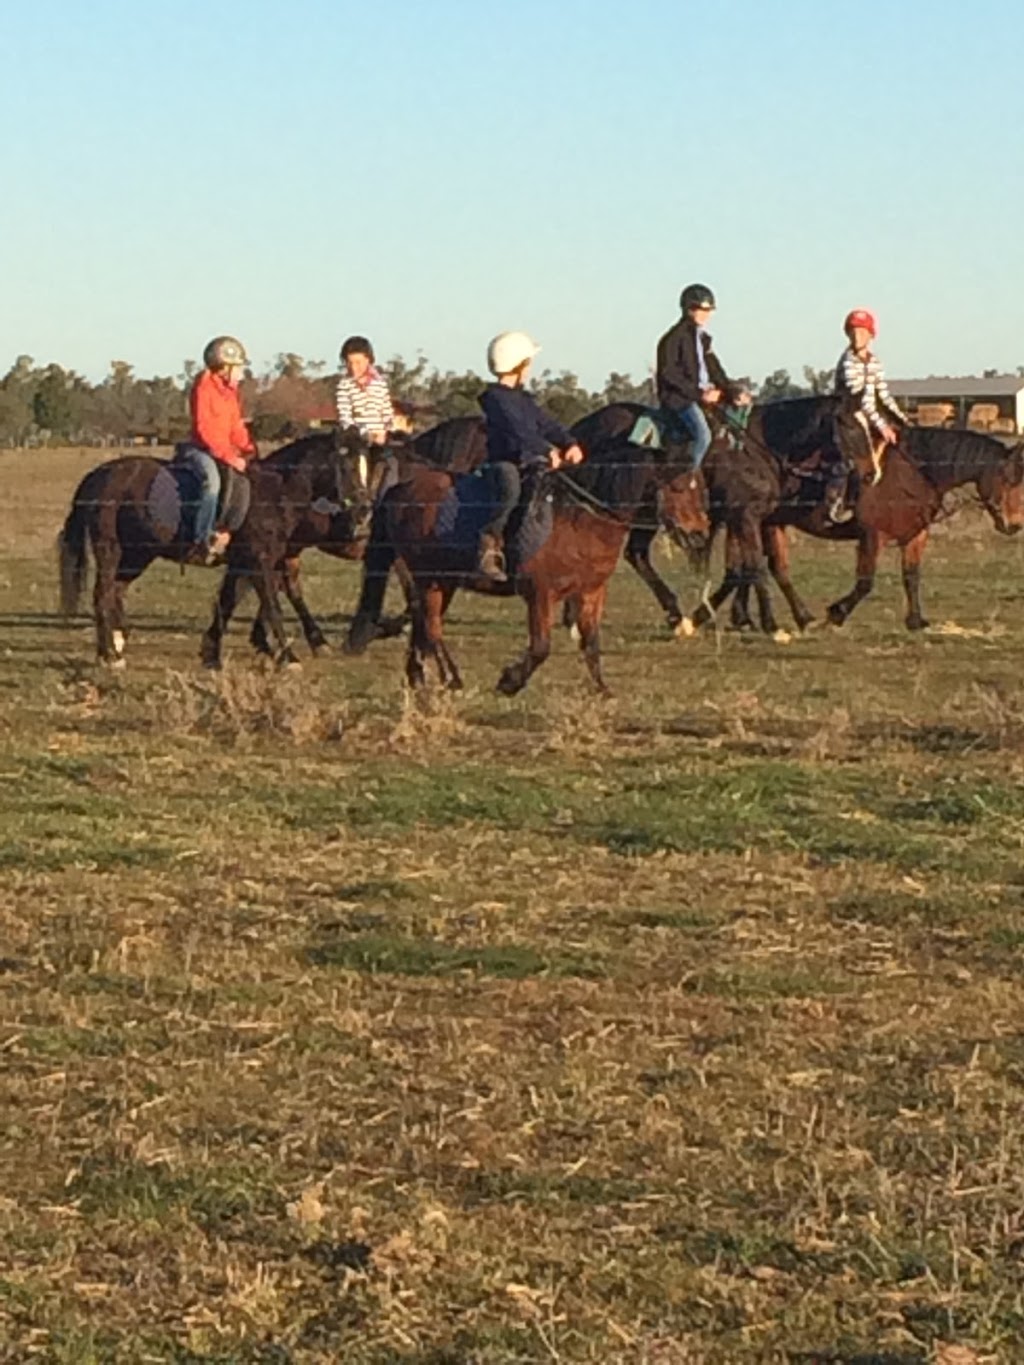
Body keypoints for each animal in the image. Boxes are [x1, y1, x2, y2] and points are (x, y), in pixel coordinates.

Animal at [57, 423, 376, 663]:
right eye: (345, 465)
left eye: (365, 465)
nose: (364, 509)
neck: (275, 493)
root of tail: (97, 475)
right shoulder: (260, 561)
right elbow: (272, 604)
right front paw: (288, 657)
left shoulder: (248, 562)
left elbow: (228, 602)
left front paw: (212, 652)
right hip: (110, 550)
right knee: (102, 594)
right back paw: (109, 654)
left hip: (137, 554)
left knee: (116, 591)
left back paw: (118, 640)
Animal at [352, 409, 715, 693]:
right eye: (680, 485)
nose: (700, 532)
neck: (579, 517)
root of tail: (402, 487)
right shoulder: (540, 593)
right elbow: (541, 647)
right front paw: (510, 681)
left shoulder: (591, 592)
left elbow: (591, 641)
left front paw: (601, 689)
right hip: (430, 577)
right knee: (430, 625)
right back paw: (450, 678)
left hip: (441, 580)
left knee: (424, 624)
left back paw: (418, 677)